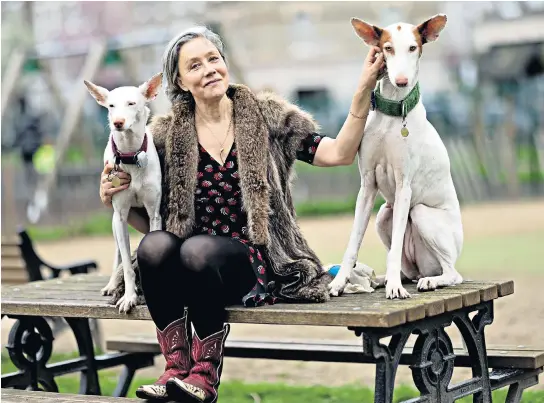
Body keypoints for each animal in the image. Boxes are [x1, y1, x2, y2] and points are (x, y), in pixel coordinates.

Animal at [84, 72, 163, 314]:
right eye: (111, 106)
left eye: (132, 103)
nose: (117, 122)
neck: (130, 153)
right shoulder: (120, 216)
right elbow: (127, 264)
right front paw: (129, 296)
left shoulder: (155, 214)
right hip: (115, 223)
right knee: (118, 254)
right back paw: (111, 285)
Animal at [328, 14, 464, 298]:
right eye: (387, 48)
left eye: (413, 47)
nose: (401, 81)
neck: (392, 115)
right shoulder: (367, 185)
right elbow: (353, 242)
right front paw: (339, 282)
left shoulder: (404, 187)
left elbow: (395, 246)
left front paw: (394, 288)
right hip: (383, 214)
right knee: (406, 267)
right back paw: (381, 279)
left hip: (422, 214)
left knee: (452, 273)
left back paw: (428, 281)